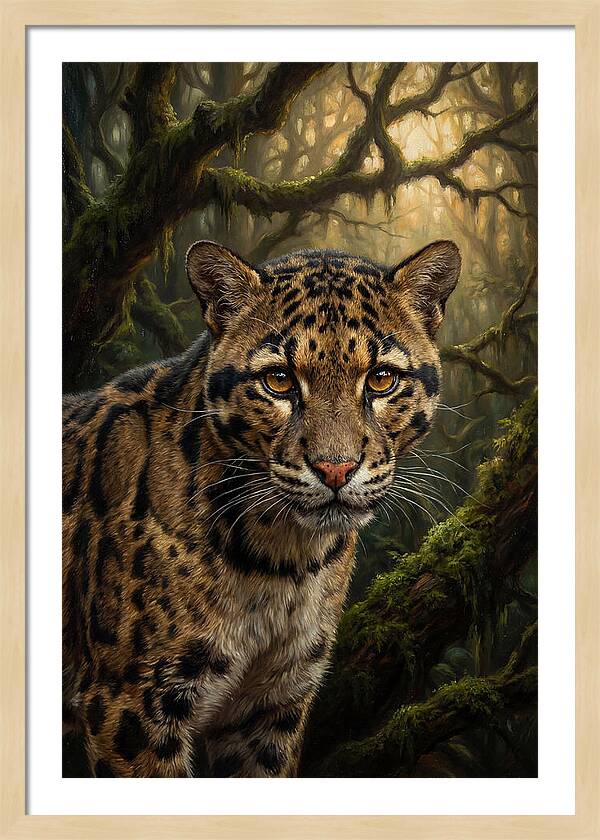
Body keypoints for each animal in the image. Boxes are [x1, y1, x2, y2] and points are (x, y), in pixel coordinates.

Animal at [62, 238, 460, 777]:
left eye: (380, 380)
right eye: (278, 380)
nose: (335, 469)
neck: (283, 560)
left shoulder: (273, 702)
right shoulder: (130, 703)